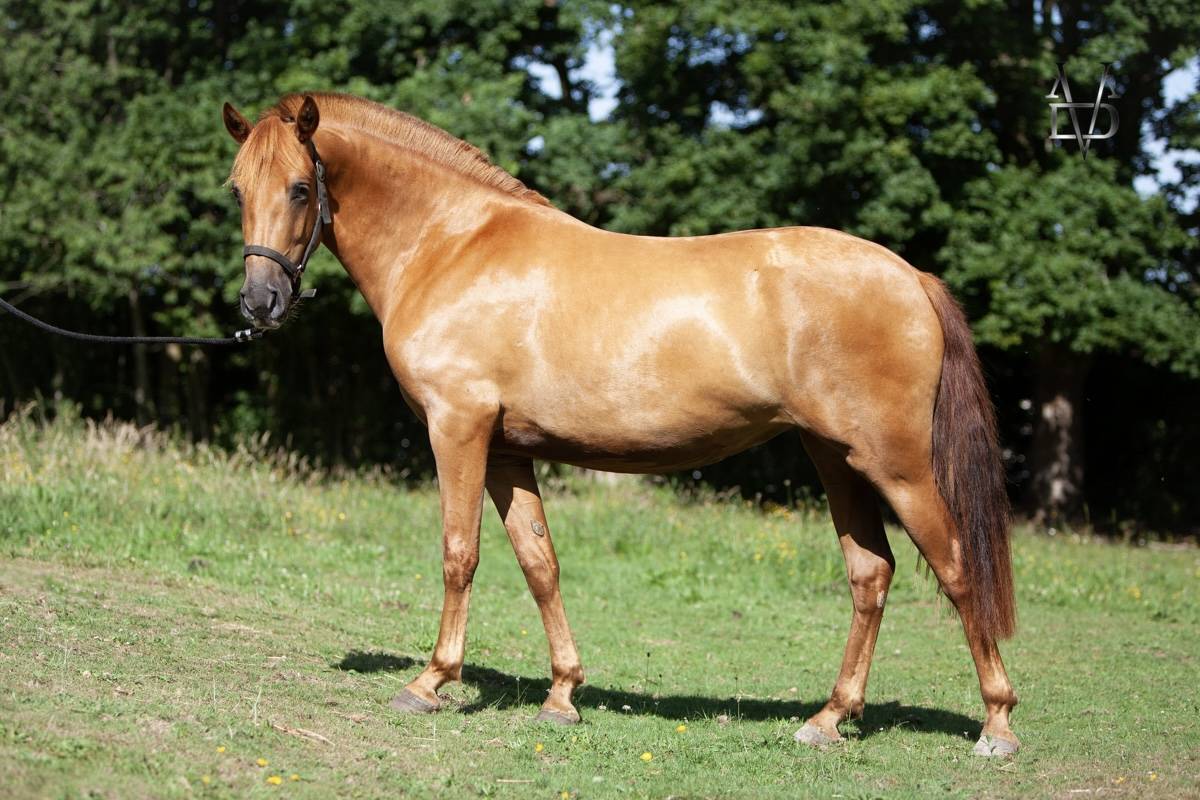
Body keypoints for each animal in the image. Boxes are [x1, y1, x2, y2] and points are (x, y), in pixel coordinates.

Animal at [222, 92, 1020, 757]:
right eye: (237, 188)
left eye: (300, 188)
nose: (260, 303)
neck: (451, 245)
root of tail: (910, 277)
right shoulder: (507, 453)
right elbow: (539, 562)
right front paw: (562, 695)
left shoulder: (459, 430)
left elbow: (460, 554)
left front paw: (430, 682)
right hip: (834, 457)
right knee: (871, 573)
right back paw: (828, 719)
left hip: (898, 464)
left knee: (956, 570)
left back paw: (997, 725)